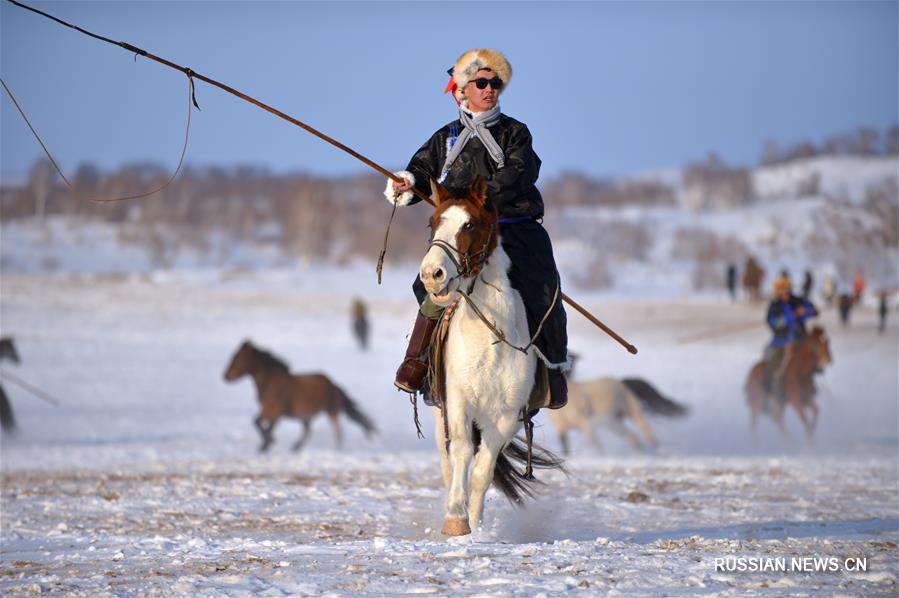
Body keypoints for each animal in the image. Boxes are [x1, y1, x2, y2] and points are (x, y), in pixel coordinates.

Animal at [229, 340, 380, 452]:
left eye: (236, 359)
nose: (226, 376)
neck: (270, 382)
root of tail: (334, 385)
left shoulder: (275, 411)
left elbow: (261, 424)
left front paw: (267, 444)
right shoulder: (270, 410)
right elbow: (260, 423)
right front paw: (266, 445)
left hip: (331, 411)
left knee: (337, 431)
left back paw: (335, 448)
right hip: (306, 415)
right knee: (308, 431)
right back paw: (296, 447)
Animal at [416, 178, 564, 540]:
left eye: (470, 224)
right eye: (432, 222)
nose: (431, 274)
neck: (489, 338)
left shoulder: (507, 415)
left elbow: (484, 468)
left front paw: (475, 522)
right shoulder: (457, 401)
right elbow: (461, 453)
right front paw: (455, 519)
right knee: (448, 461)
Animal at [548, 378, 688, 458]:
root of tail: (622, 383)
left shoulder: (585, 423)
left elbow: (595, 443)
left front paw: (600, 456)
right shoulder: (561, 428)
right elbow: (565, 445)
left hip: (626, 414)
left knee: (645, 430)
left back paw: (658, 450)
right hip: (616, 421)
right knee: (633, 436)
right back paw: (641, 453)